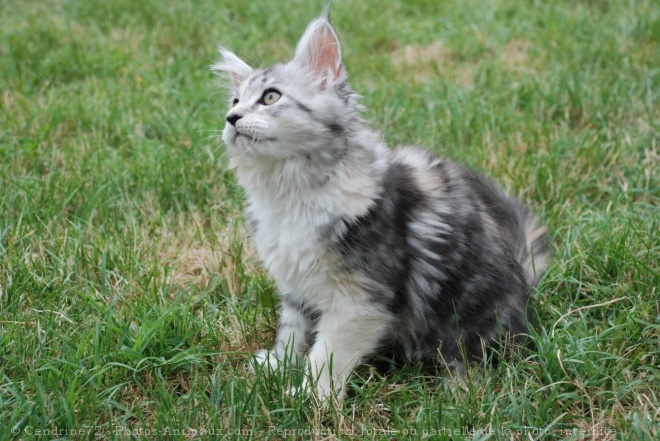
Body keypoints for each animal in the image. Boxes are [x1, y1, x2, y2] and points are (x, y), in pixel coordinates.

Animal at [213, 12, 552, 398]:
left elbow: (327, 356)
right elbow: (292, 329)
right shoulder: (297, 283)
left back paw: (459, 386)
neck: (288, 193)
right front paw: (277, 365)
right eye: (234, 102)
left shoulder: (360, 300)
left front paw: (310, 398)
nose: (231, 119)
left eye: (270, 97)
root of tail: (524, 285)